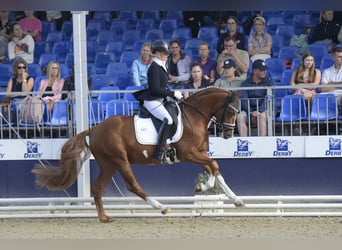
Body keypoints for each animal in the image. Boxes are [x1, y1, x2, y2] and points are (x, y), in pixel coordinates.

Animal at [32, 87, 243, 222]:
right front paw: (203, 187)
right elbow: (214, 165)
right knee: (132, 185)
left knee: (98, 188)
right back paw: (161, 207)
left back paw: (105, 217)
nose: (229, 134)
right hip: (119, 160)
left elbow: (215, 170)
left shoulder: (199, 153)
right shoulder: (188, 153)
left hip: (109, 164)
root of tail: (93, 130)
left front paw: (234, 199)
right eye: (231, 112)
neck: (194, 117)